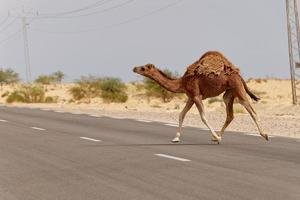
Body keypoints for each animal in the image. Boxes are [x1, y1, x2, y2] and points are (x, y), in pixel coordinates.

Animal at [132, 50, 268, 143]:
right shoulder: (191, 97)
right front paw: (176, 138)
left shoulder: (196, 95)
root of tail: (238, 74)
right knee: (230, 114)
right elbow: (181, 114)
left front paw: (215, 137)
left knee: (250, 109)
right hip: (229, 93)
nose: (134, 68)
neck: (182, 82)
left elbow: (203, 117)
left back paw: (265, 135)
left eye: (143, 68)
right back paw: (219, 137)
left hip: (237, 88)